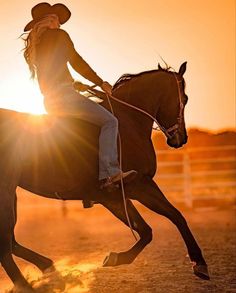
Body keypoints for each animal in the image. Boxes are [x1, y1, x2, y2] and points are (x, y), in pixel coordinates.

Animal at [0, 61, 209, 290]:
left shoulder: (121, 194)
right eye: (185, 98)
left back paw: (49, 267)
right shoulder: (133, 188)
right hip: (6, 194)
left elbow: (166, 221)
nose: (181, 138)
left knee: (11, 242)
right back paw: (27, 284)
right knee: (5, 245)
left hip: (13, 196)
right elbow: (154, 226)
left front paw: (200, 264)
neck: (127, 123)